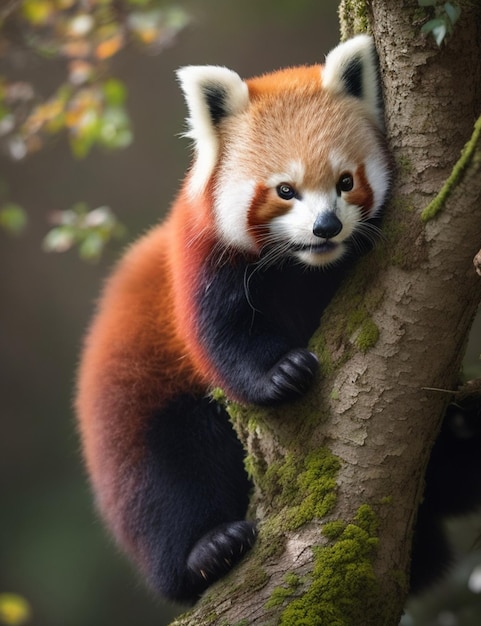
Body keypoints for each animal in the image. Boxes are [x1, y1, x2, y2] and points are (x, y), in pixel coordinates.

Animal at [75, 35, 390, 604]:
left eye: (345, 182)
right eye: (285, 189)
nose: (326, 227)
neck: (302, 267)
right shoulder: (201, 263)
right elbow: (223, 338)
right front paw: (281, 372)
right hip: (134, 395)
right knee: (158, 484)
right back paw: (205, 551)